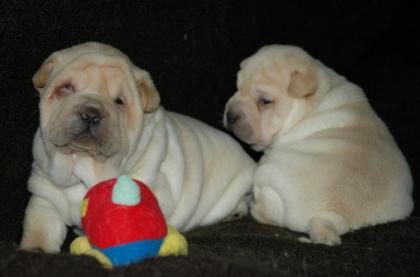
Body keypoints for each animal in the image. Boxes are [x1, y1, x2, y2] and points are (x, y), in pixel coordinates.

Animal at [21, 42, 256, 251]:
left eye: (119, 101)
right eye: (67, 88)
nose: (91, 113)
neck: (83, 166)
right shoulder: (45, 196)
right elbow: (40, 229)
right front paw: (35, 251)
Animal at [225, 44, 412, 244]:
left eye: (265, 102)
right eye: (237, 88)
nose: (230, 115)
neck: (318, 97)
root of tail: (329, 216)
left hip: (265, 174)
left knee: (263, 210)